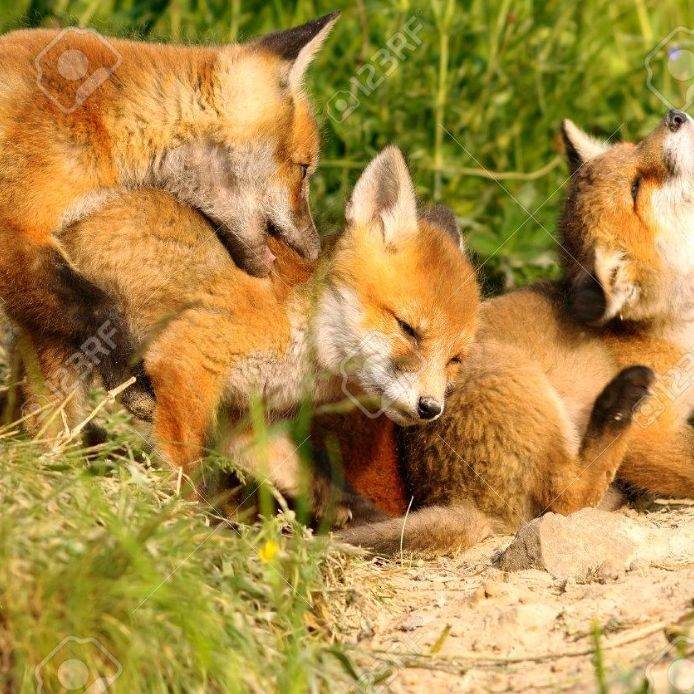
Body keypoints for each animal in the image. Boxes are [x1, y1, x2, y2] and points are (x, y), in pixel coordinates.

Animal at [0, 12, 337, 418]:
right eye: (304, 169)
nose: (315, 251)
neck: (101, 117)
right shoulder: (15, 232)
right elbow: (100, 307)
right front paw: (131, 385)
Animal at [12, 147, 479, 503]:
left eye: (455, 360)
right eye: (407, 328)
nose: (431, 408)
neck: (297, 329)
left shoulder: (241, 418)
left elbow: (295, 473)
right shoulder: (186, 362)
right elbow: (185, 468)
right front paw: (182, 524)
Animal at [337, 109, 694, 554]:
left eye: (633, 147)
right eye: (635, 187)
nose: (675, 116)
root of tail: (453, 498)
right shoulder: (650, 436)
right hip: (520, 381)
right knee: (566, 496)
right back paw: (618, 403)